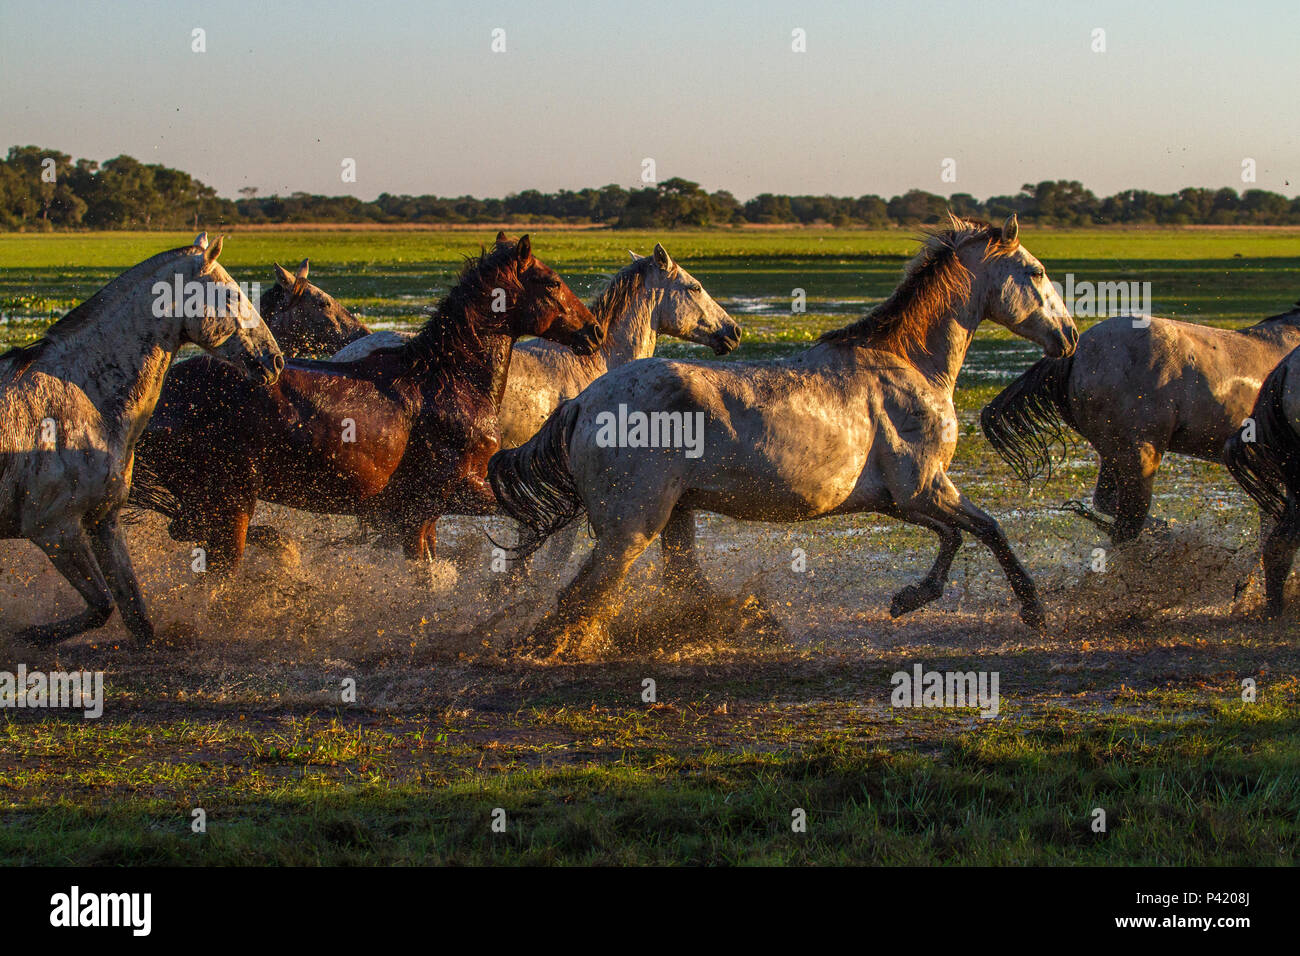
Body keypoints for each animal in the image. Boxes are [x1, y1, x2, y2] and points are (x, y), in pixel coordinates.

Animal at [0, 235, 284, 647]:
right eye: (232, 295)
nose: (275, 361)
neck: (84, 397)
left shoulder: (102, 521)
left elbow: (136, 615)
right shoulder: (54, 530)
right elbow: (102, 605)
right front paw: (30, 635)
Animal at [126, 234, 603, 574]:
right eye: (553, 282)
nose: (594, 331)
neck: (448, 381)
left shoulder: (416, 512)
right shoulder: (443, 495)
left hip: (208, 502)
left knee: (191, 534)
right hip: (229, 501)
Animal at [488, 213, 1076, 655]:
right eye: (1036, 270)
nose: (1069, 335)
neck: (908, 365)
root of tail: (581, 404)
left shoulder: (896, 500)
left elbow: (953, 535)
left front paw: (909, 597)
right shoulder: (927, 487)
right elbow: (990, 529)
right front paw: (1033, 610)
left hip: (675, 518)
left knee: (678, 584)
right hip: (630, 530)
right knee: (578, 598)